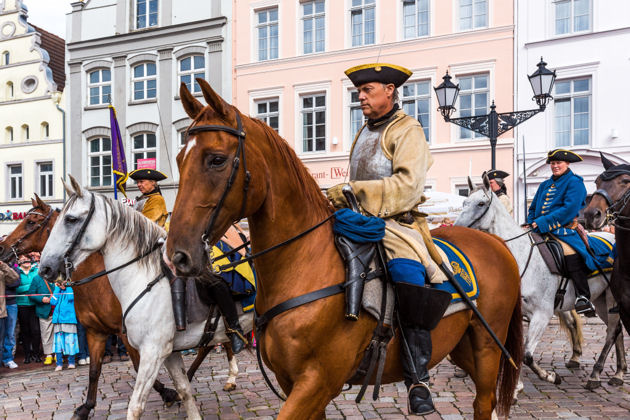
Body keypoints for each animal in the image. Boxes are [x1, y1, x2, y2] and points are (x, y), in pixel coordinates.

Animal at [0, 194, 237, 420]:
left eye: (30, 222)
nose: (2, 248)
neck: (100, 278)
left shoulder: (128, 335)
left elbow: (137, 366)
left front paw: (167, 393)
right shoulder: (95, 332)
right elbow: (94, 370)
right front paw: (85, 408)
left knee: (212, 345)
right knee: (212, 344)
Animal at [167, 79, 524, 420]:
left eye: (217, 159)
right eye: (179, 160)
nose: (178, 255)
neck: (305, 265)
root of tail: (494, 242)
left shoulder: (317, 382)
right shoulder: (294, 382)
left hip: (488, 347)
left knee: (483, 403)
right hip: (462, 348)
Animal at [454, 178, 628, 390]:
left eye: (480, 203)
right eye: (464, 202)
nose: (456, 228)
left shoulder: (542, 314)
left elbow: (527, 355)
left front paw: (550, 376)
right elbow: (513, 351)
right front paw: (516, 385)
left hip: (611, 299)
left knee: (612, 331)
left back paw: (596, 374)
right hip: (601, 300)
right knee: (617, 331)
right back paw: (618, 373)